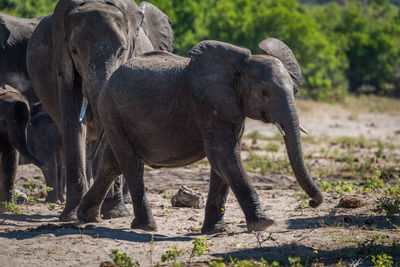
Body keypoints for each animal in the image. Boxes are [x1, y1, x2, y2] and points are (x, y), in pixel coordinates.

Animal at [26, 0, 173, 222]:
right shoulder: (63, 64)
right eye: (74, 50)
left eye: (122, 50)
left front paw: (114, 213)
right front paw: (72, 216)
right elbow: (73, 123)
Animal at [79, 38, 324, 234]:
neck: (238, 66)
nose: (312, 203)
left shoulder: (229, 108)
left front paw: (216, 231)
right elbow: (224, 157)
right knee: (130, 162)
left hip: (115, 115)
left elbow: (222, 161)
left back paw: (86, 217)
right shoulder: (206, 105)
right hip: (112, 110)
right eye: (264, 93)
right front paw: (264, 224)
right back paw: (146, 227)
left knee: (113, 163)